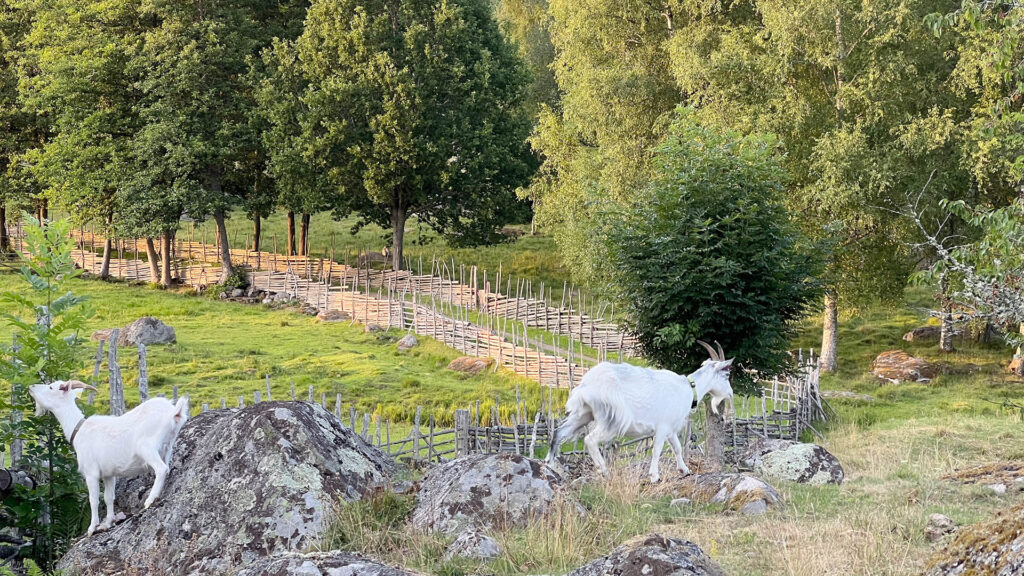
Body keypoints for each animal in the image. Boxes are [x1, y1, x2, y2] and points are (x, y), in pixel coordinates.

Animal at [29, 377, 190, 532]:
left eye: (52, 387)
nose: (31, 387)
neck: (79, 429)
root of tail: (174, 412)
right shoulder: (108, 474)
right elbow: (108, 497)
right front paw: (108, 522)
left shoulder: (91, 472)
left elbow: (93, 500)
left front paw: (92, 527)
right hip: (168, 447)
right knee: (167, 467)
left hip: (146, 447)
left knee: (161, 469)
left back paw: (150, 500)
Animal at [548, 338, 733, 481]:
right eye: (726, 374)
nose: (730, 394)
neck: (688, 389)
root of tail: (586, 385)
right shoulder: (662, 427)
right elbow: (657, 450)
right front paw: (654, 476)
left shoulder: (671, 429)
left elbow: (677, 448)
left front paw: (685, 470)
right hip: (613, 418)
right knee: (590, 440)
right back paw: (604, 471)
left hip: (583, 414)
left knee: (559, 433)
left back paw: (549, 465)